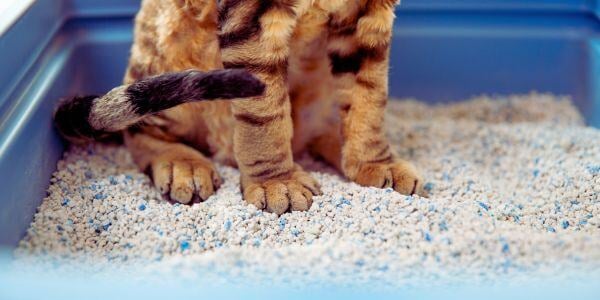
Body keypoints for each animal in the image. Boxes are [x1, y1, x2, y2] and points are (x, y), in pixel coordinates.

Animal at [55, 0, 422, 216]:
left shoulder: (368, 17)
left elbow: (369, 97)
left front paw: (376, 164)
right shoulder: (251, 19)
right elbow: (265, 115)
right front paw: (278, 183)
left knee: (315, 130)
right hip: (169, 49)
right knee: (140, 129)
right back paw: (181, 164)